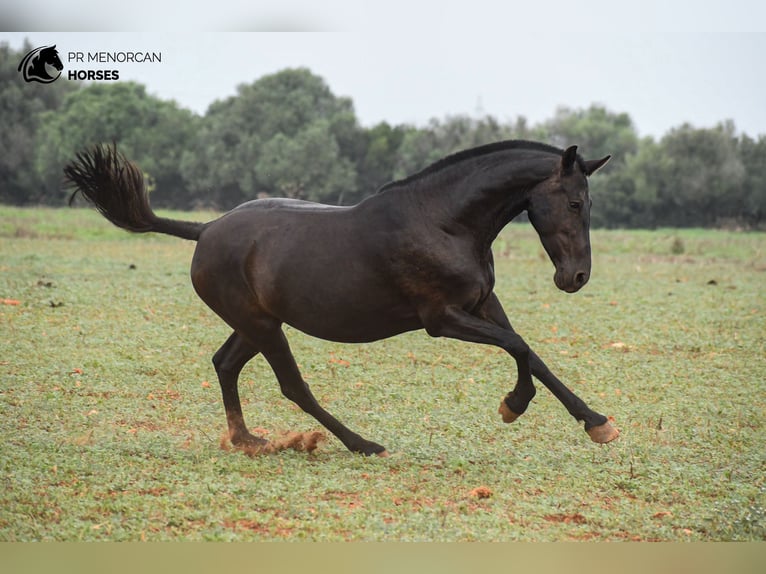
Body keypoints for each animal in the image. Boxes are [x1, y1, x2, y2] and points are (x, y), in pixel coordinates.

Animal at [64, 141, 616, 460]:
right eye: (574, 203)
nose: (577, 277)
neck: (445, 222)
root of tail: (205, 230)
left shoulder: (483, 305)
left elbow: (531, 352)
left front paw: (597, 423)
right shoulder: (442, 318)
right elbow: (518, 347)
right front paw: (512, 406)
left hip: (256, 322)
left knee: (225, 363)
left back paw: (248, 439)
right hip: (264, 327)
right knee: (292, 386)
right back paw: (361, 444)